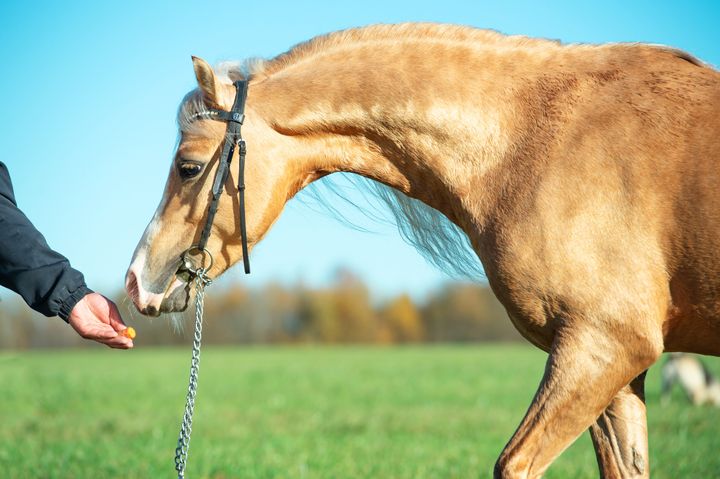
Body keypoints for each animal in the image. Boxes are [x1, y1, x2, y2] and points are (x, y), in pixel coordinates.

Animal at [126, 24, 720, 478]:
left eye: (188, 167)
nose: (135, 281)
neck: (533, 144)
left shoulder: (603, 347)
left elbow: (514, 464)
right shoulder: (617, 370)